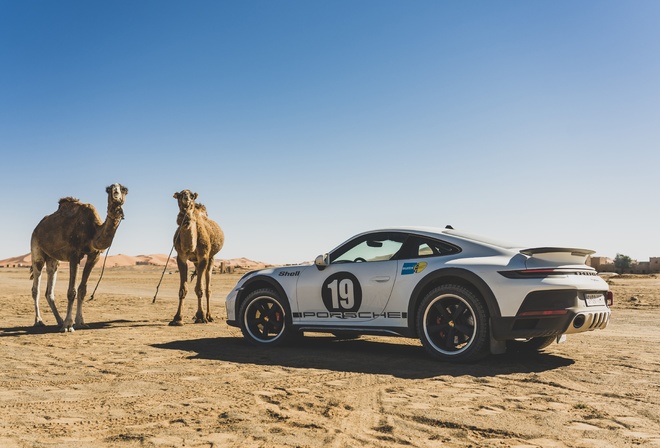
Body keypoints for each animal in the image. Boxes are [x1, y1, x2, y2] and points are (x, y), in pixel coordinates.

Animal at [30, 183, 129, 332]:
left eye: (124, 189)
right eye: (109, 189)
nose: (116, 193)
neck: (93, 231)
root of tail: (37, 227)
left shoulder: (94, 256)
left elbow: (82, 290)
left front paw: (80, 322)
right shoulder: (74, 254)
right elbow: (72, 291)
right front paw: (68, 325)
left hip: (53, 259)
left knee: (49, 290)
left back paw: (59, 320)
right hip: (36, 248)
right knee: (36, 287)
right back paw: (39, 321)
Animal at [170, 189, 224, 326]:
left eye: (192, 196)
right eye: (179, 195)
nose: (186, 198)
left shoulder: (203, 256)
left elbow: (200, 288)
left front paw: (201, 317)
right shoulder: (181, 257)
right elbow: (183, 289)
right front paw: (177, 318)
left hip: (211, 258)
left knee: (207, 287)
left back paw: (208, 316)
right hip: (195, 262)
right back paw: (197, 315)